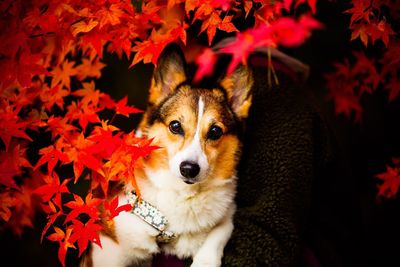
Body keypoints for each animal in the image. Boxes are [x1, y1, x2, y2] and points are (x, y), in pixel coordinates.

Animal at [81, 44, 253, 267]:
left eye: (215, 131)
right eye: (175, 126)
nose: (189, 168)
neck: (183, 195)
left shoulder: (227, 213)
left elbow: (221, 229)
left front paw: (205, 261)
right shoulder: (108, 247)